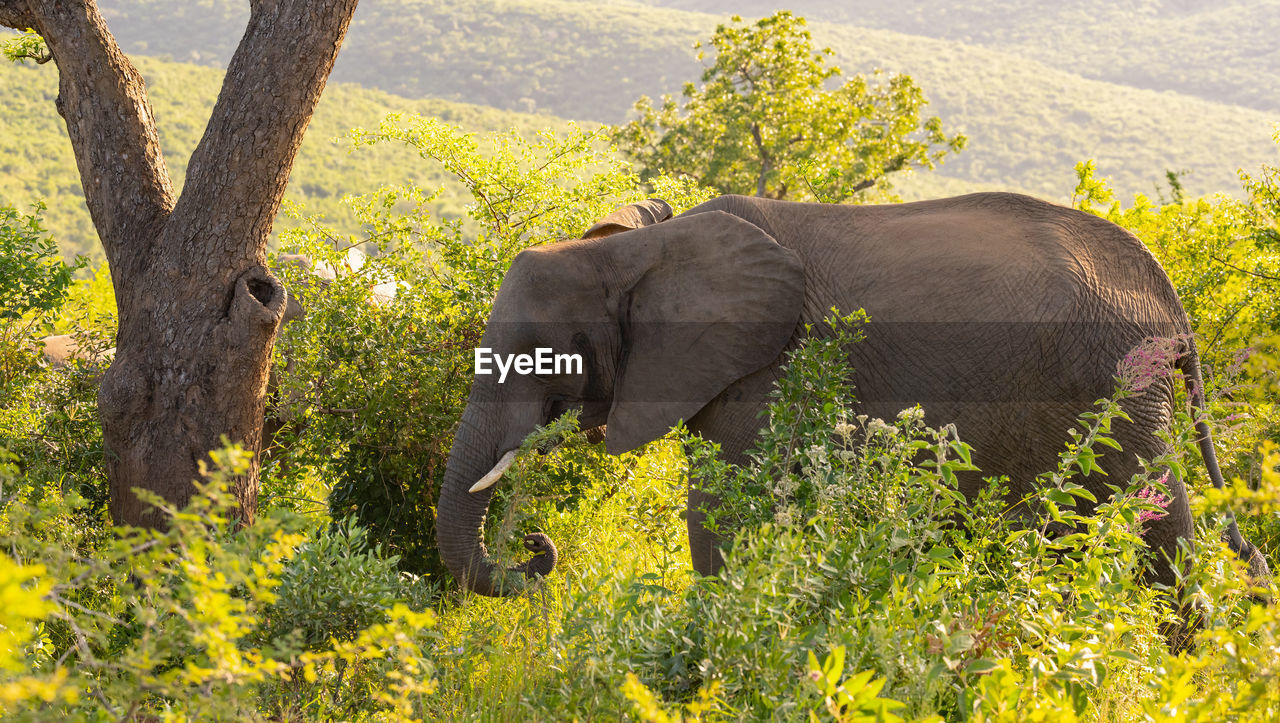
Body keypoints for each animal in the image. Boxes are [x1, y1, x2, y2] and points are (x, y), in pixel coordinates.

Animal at [432, 191, 1269, 598]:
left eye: (548, 353)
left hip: (1120, 388)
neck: (638, 246)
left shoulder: (768, 368)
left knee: (1160, 534)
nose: (538, 545)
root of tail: (1168, 299)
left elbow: (724, 512)